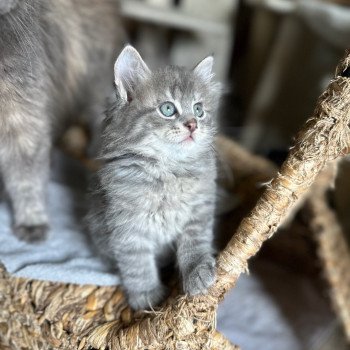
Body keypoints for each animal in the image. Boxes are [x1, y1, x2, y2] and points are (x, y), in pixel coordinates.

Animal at [86, 45, 220, 308]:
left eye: (199, 110)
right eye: (168, 109)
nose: (193, 124)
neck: (168, 171)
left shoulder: (200, 210)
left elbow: (195, 242)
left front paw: (197, 272)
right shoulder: (126, 226)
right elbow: (137, 265)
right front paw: (149, 298)